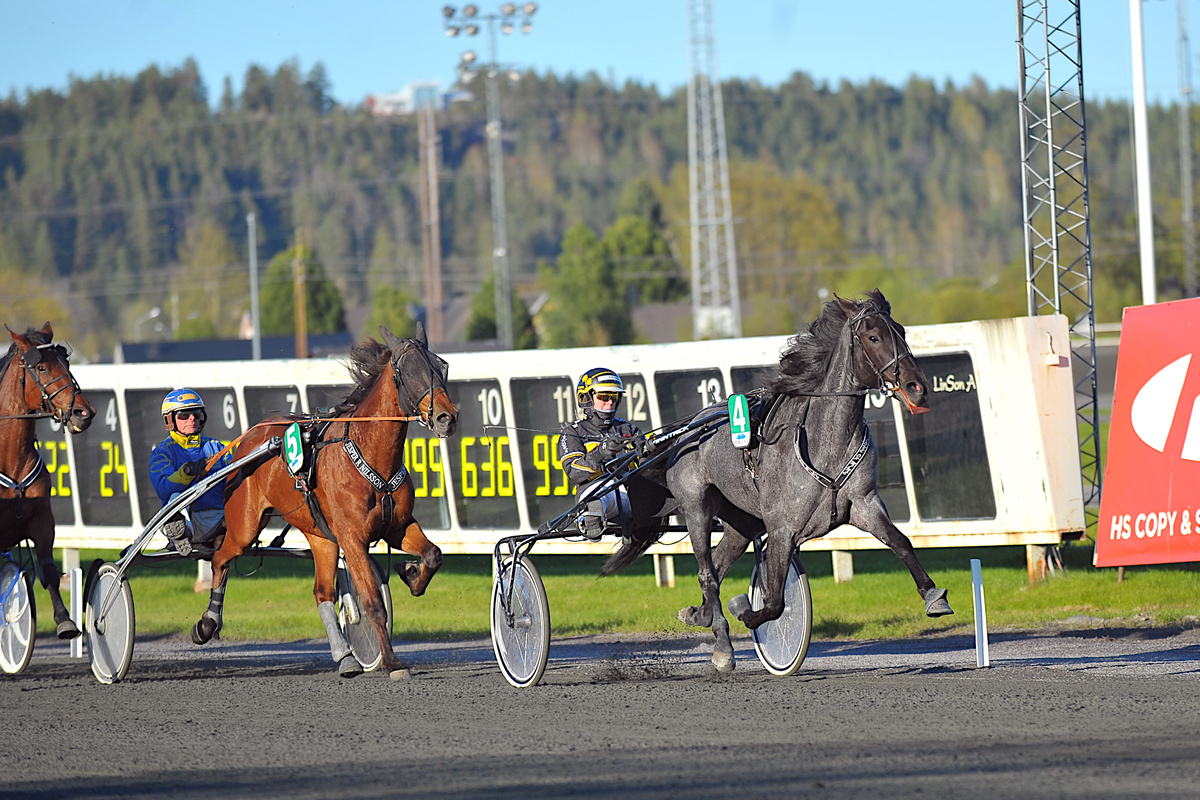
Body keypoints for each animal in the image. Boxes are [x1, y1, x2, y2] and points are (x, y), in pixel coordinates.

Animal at [0, 321, 94, 642]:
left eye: (66, 363)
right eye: (41, 367)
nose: (83, 412)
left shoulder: (43, 521)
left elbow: (49, 571)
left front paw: (65, 621)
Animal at [189, 321, 456, 681]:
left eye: (441, 367)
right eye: (409, 371)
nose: (447, 417)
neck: (369, 454)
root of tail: (249, 438)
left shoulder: (397, 527)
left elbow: (433, 555)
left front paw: (411, 573)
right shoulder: (353, 539)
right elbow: (373, 603)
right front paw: (392, 662)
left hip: (320, 537)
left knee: (322, 593)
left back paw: (346, 657)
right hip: (244, 525)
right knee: (219, 558)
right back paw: (207, 624)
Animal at [604, 291, 950, 671]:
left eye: (901, 331)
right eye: (873, 337)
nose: (917, 388)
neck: (824, 440)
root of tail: (686, 430)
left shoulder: (863, 503)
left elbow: (901, 542)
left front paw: (934, 596)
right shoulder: (782, 526)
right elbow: (773, 602)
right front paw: (746, 610)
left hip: (741, 521)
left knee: (716, 566)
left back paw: (700, 615)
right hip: (697, 505)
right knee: (707, 571)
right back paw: (723, 645)